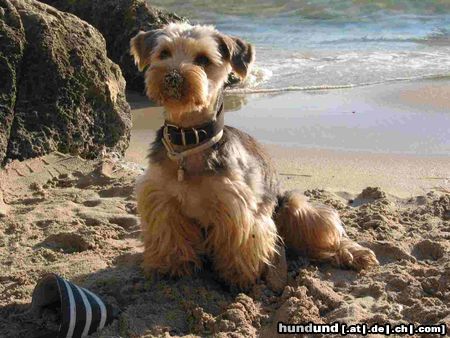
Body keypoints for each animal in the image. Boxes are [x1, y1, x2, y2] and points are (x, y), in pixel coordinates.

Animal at [131, 22, 380, 288]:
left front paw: (237, 277)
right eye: (163, 53)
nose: (173, 76)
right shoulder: (161, 199)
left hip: (295, 208)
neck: (190, 141)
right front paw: (171, 266)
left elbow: (239, 243)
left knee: (326, 233)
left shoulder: (236, 207)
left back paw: (354, 253)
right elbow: (168, 235)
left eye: (203, 59)